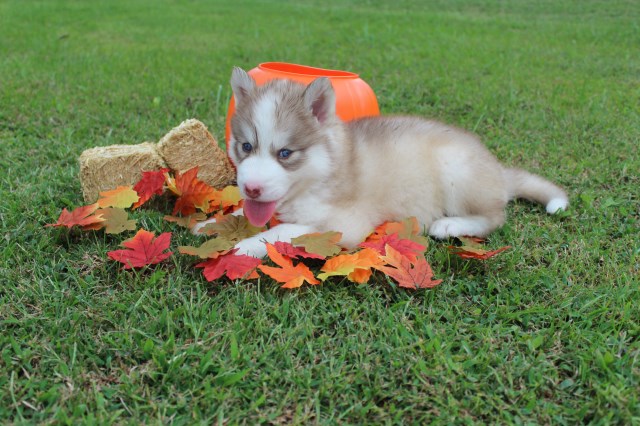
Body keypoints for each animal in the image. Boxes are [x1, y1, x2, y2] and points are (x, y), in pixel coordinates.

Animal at [194, 68, 564, 258]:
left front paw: (244, 246)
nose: (252, 188)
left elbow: (283, 231)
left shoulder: (346, 224)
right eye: (246, 146)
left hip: (456, 169)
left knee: (495, 217)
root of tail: (498, 169)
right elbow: (245, 213)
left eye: (285, 154)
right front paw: (212, 221)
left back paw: (451, 225)